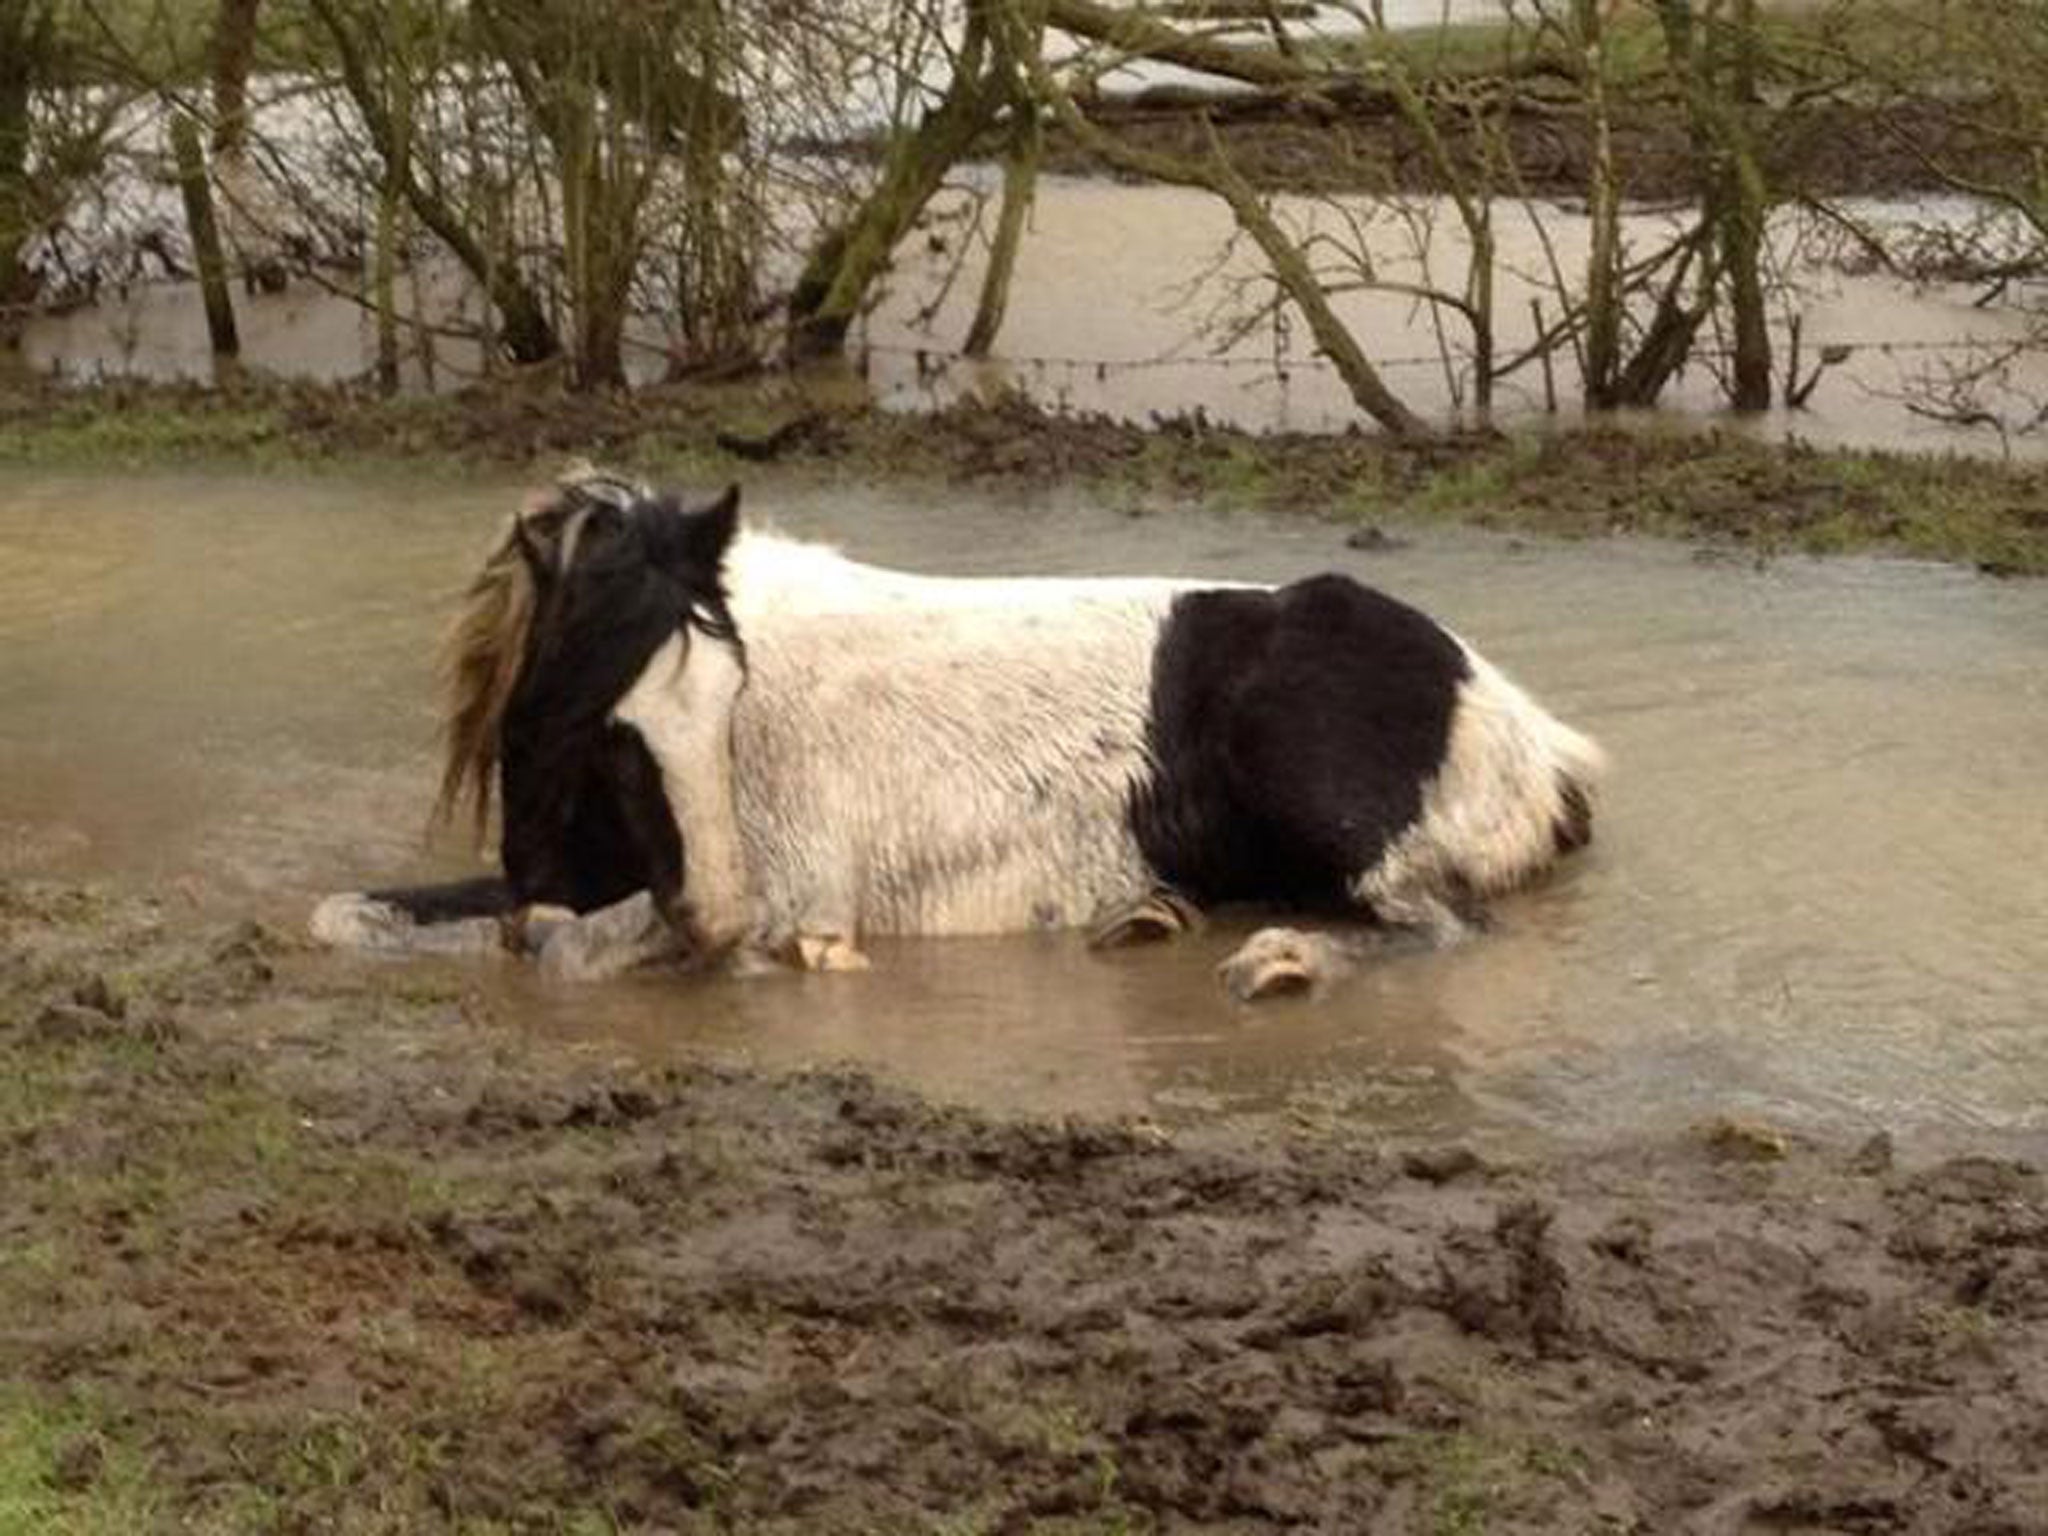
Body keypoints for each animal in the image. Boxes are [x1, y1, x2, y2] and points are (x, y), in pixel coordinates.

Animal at [311, 473, 1605, 999]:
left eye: (728, 696)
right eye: (600, 714)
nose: (716, 917)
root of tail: (1533, 737)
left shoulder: (777, 885)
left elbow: (562, 951)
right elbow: (354, 916)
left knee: (1433, 928)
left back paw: (1276, 962)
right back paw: (1151, 919)